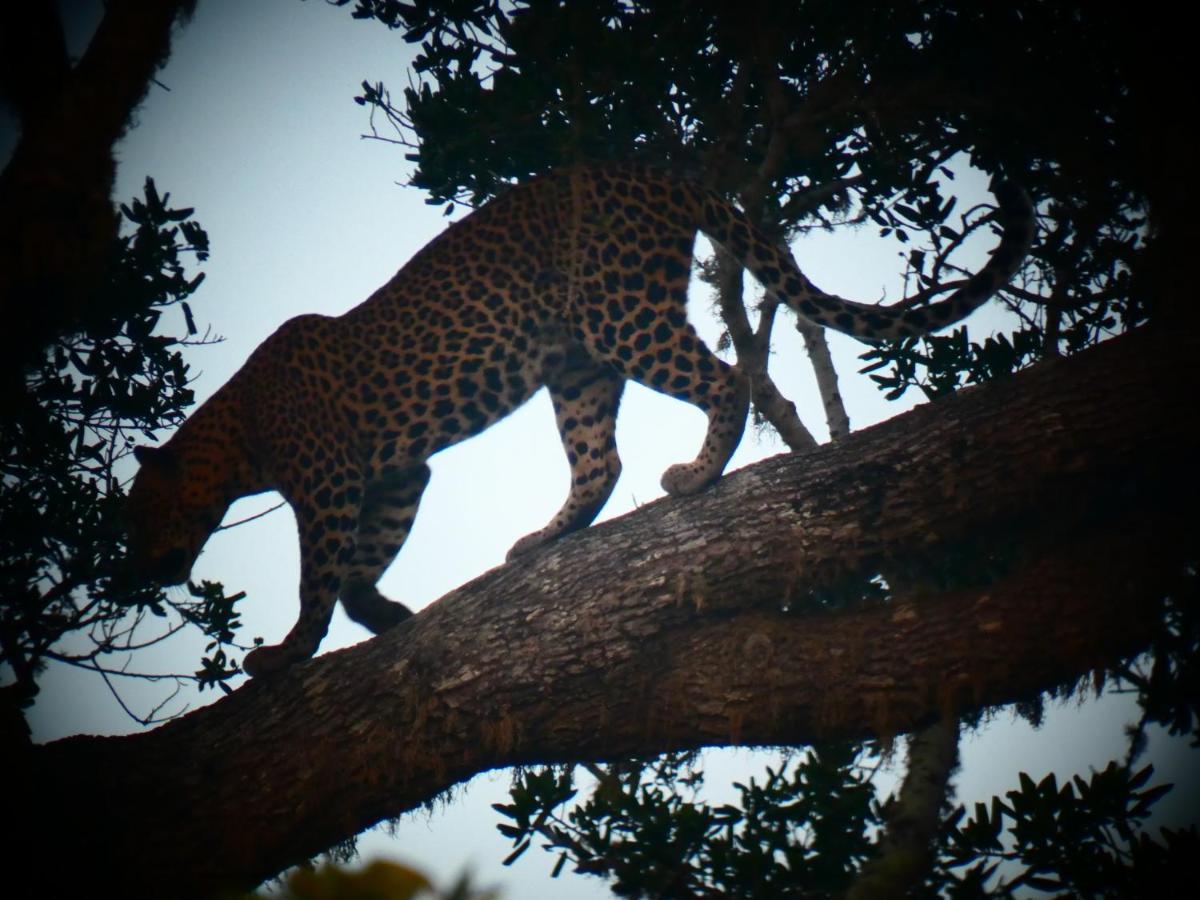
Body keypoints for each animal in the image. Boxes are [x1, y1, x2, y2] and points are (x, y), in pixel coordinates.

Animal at [126, 165, 1036, 681]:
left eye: (140, 516)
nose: (139, 573)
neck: (235, 436)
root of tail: (651, 167)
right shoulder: (396, 474)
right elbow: (360, 567)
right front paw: (387, 616)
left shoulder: (327, 482)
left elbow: (318, 577)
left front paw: (285, 655)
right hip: (576, 366)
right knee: (600, 461)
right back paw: (547, 537)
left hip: (618, 316)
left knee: (728, 380)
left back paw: (697, 475)